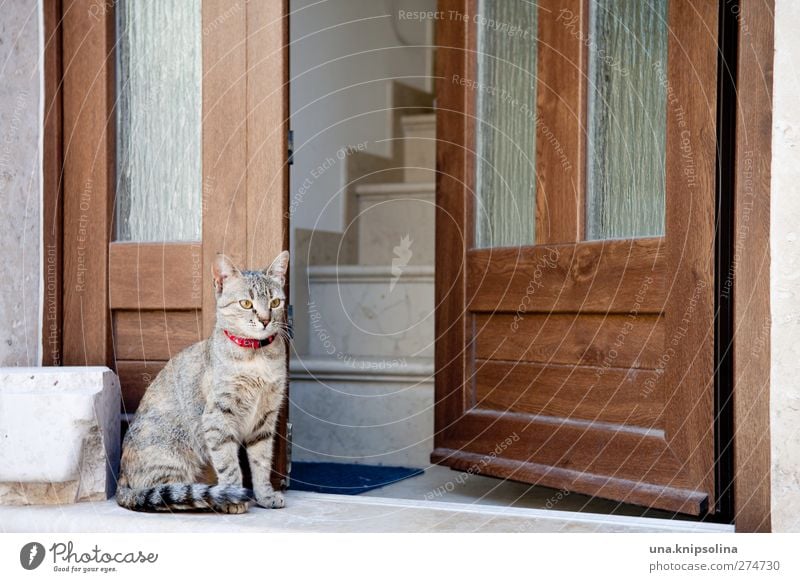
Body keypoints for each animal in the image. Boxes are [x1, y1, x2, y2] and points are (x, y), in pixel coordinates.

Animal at [117, 253, 292, 512]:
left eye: (275, 302)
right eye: (246, 304)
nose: (264, 320)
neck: (256, 357)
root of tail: (121, 477)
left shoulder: (264, 420)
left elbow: (261, 463)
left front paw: (265, 496)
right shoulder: (217, 417)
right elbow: (229, 465)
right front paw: (233, 497)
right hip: (170, 459)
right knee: (168, 495)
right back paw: (209, 498)